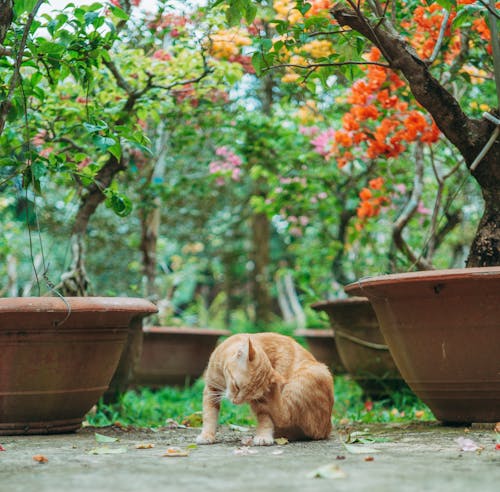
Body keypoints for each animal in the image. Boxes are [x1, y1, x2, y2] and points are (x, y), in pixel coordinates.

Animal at [197, 332, 334, 444]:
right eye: (236, 386)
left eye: (249, 397)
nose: (236, 401)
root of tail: (327, 429)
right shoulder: (211, 389)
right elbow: (209, 415)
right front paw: (207, 435)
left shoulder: (261, 402)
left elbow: (266, 420)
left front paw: (263, 436)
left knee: (284, 417)